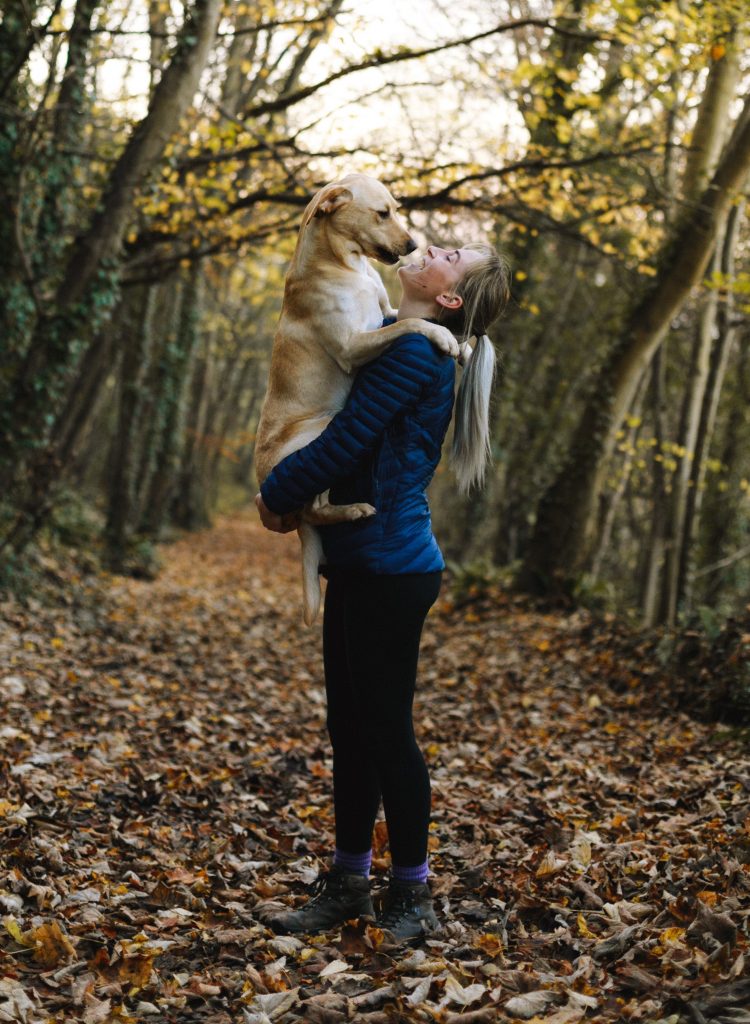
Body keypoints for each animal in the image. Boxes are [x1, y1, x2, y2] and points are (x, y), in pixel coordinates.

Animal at [255, 175, 459, 622]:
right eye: (382, 214)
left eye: (396, 209)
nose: (414, 245)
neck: (346, 265)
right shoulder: (352, 344)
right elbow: (412, 324)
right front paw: (444, 335)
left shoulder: (386, 309)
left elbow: (401, 316)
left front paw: (465, 342)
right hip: (323, 427)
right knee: (314, 506)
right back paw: (354, 510)